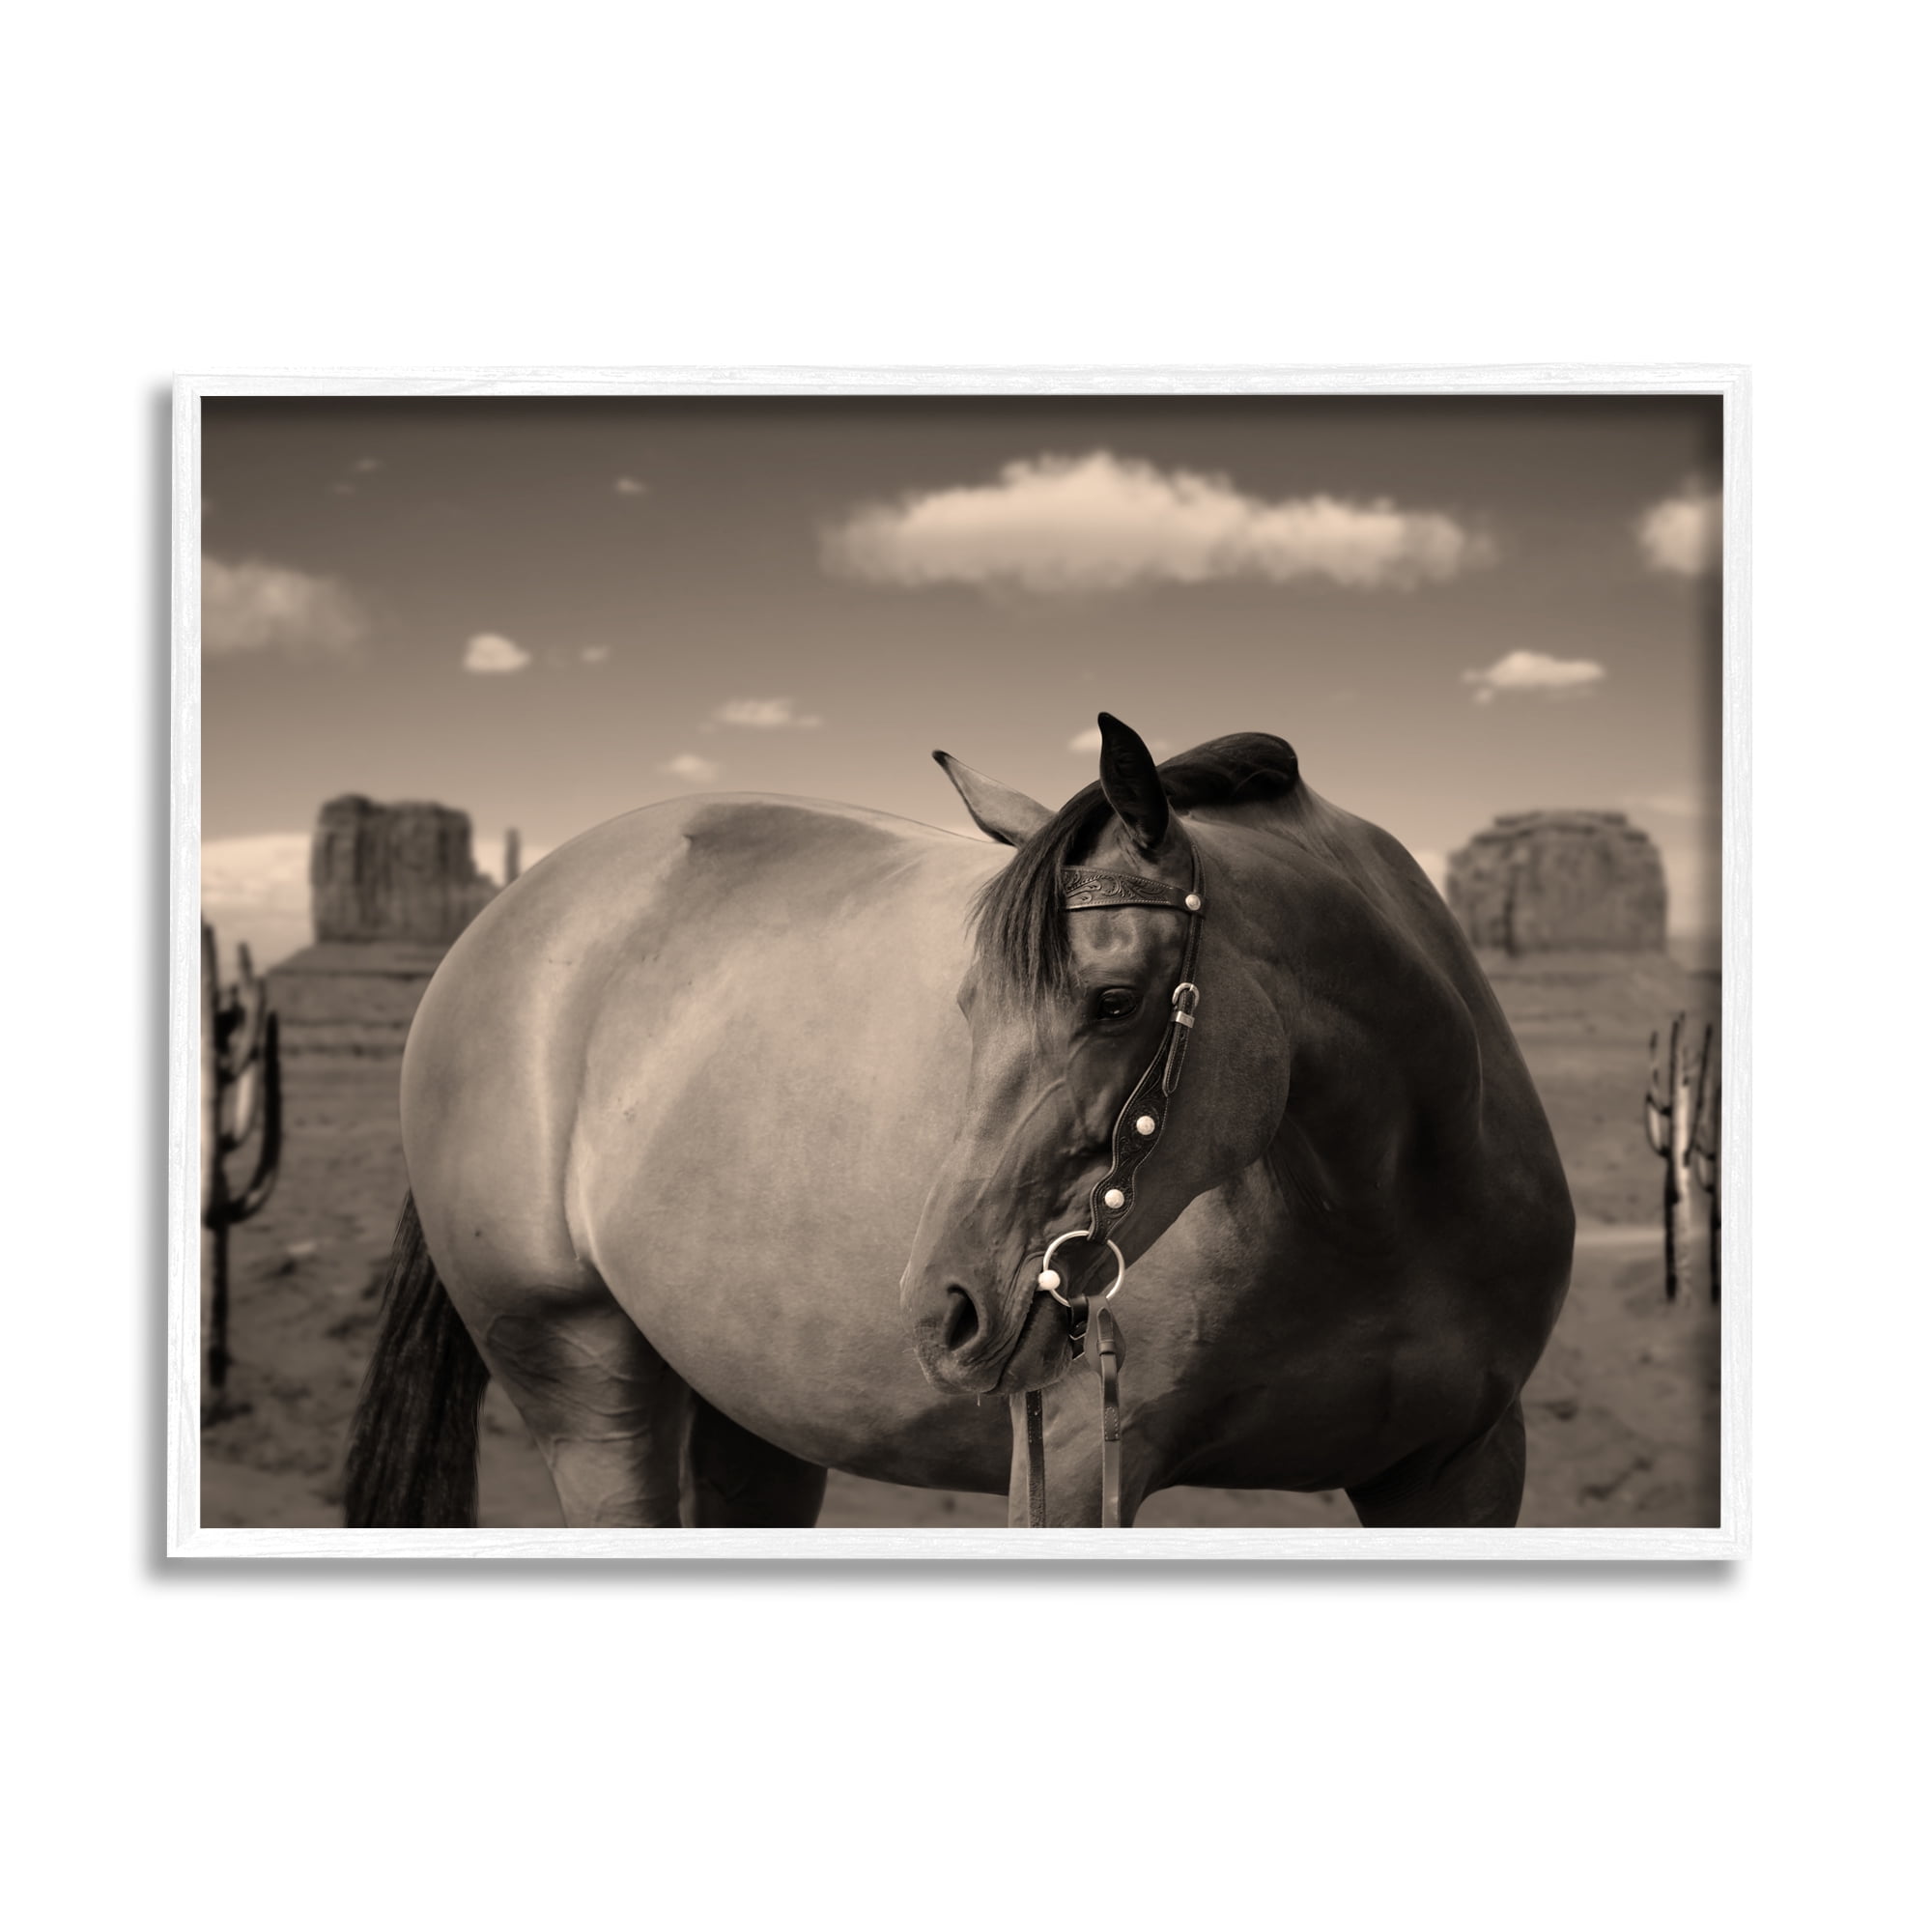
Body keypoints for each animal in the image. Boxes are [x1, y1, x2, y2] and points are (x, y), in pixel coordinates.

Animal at [344, 715, 1574, 1530]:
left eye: (1113, 1001)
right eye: (970, 1003)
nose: (946, 1307)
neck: (1381, 1206)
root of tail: (506, 920)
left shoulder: (1462, 1467)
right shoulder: (1071, 1471)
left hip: (752, 1409)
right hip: (577, 1369)